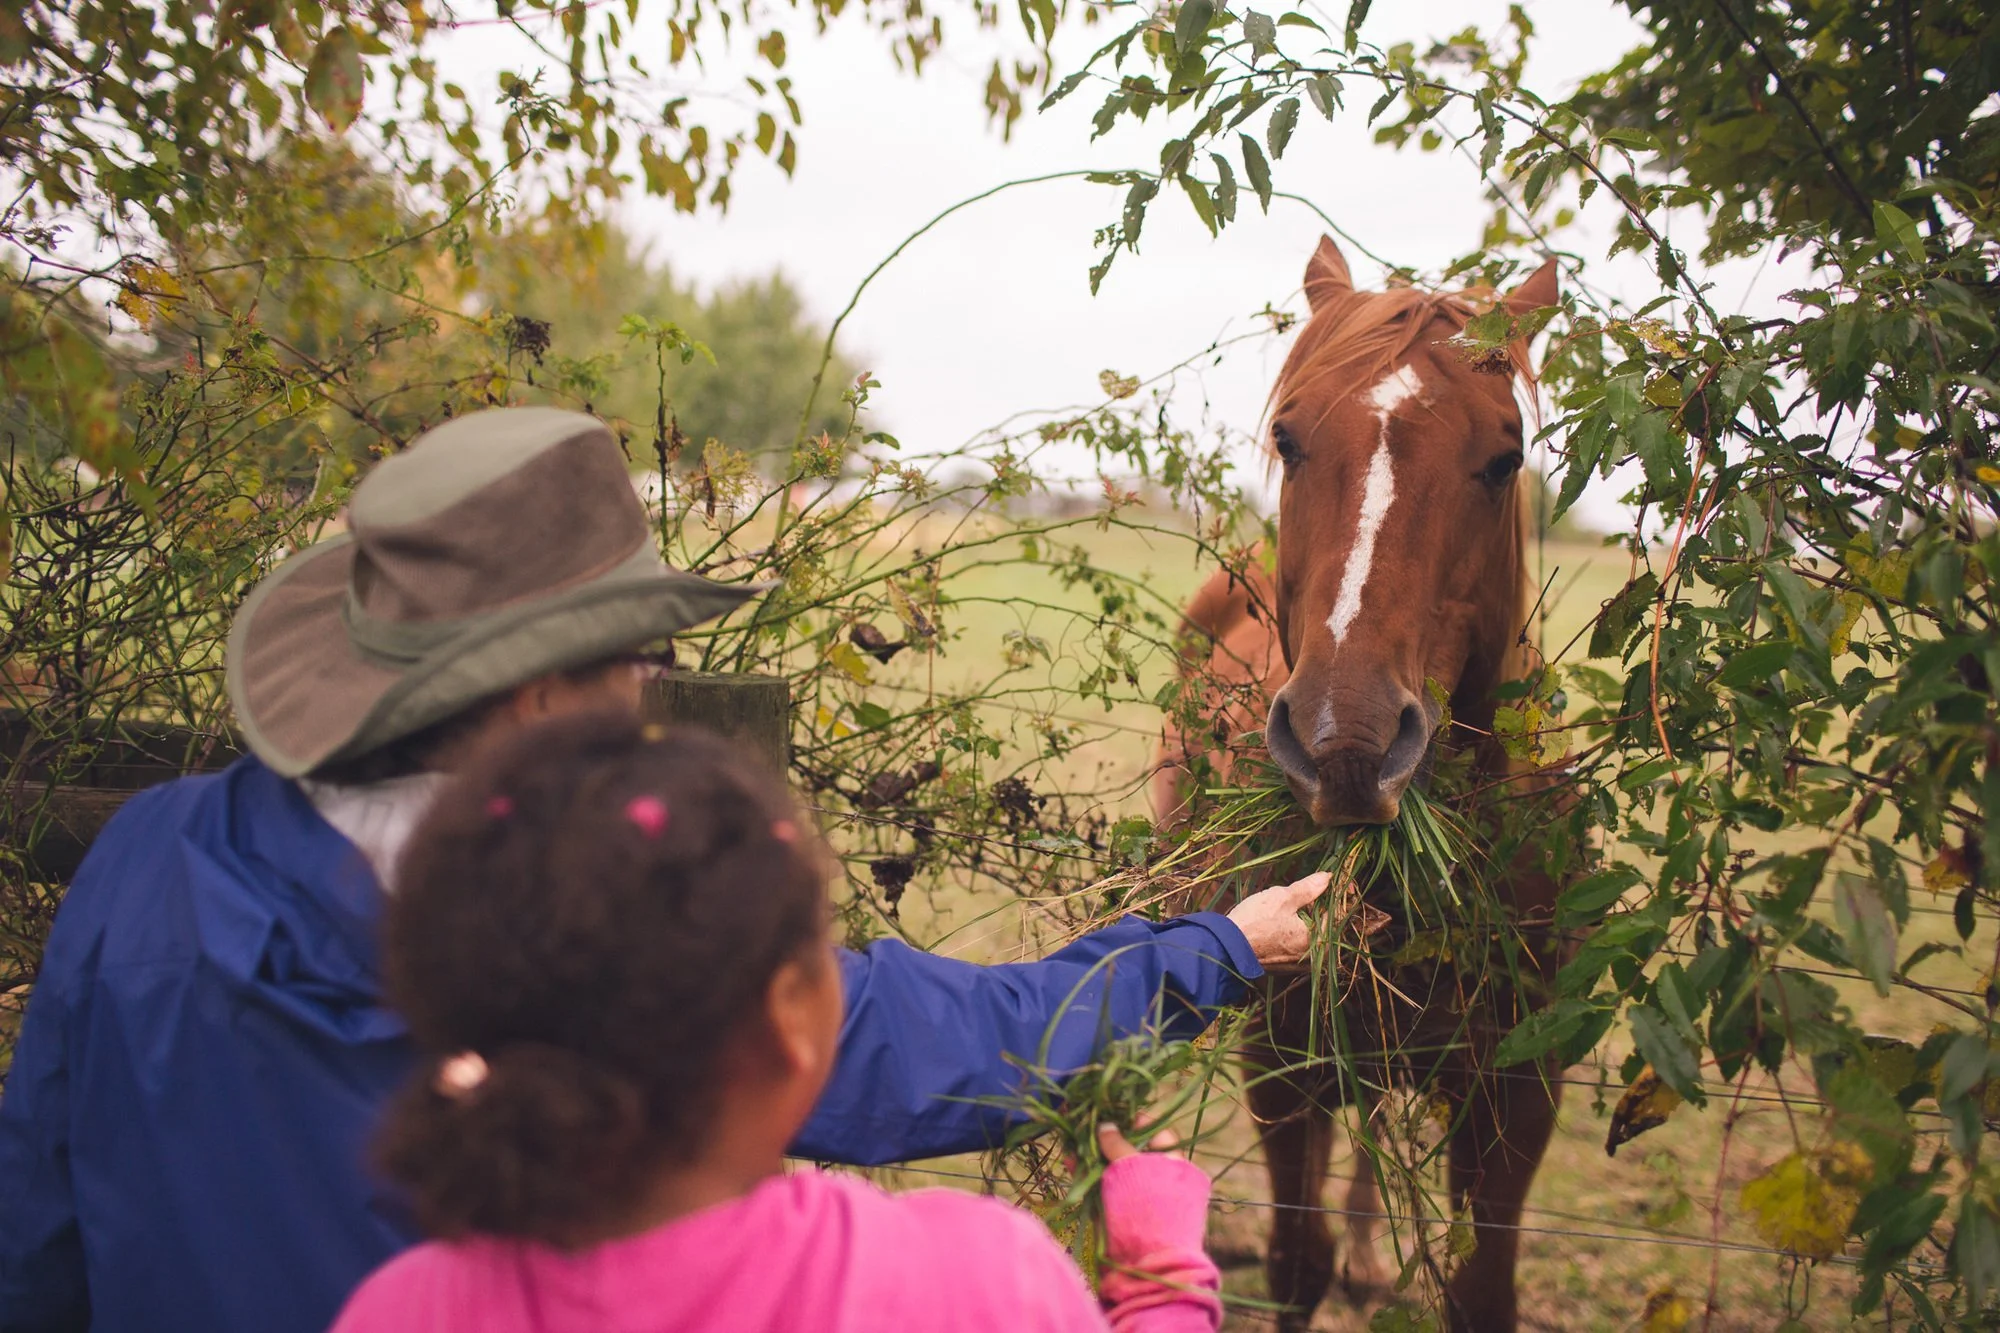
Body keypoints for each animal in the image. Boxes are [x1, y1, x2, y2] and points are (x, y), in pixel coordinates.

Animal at [1156, 236, 1564, 1332]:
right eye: (1289, 437)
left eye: (1505, 454)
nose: (1347, 743)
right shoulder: (1280, 1073)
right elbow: (1295, 1262)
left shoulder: (1517, 1104)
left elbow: (1481, 1289)